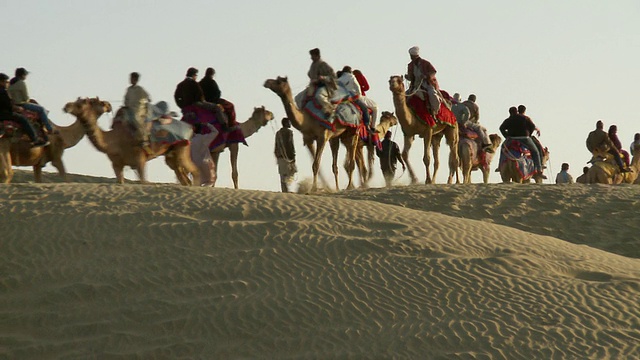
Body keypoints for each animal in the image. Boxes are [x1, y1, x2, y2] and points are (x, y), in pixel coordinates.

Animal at [62, 98, 199, 186]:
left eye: (83, 102)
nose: (66, 106)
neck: (113, 141)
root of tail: (190, 128)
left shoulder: (140, 160)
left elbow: (143, 181)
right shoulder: (116, 164)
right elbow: (120, 181)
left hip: (182, 147)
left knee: (194, 169)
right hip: (172, 153)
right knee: (181, 173)